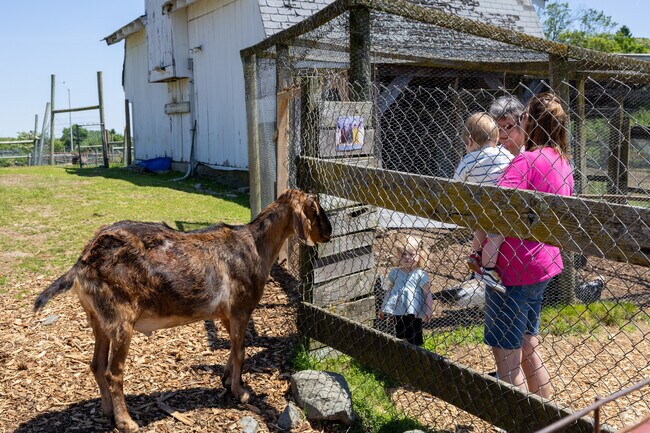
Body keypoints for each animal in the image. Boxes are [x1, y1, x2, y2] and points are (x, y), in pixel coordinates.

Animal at [34, 189, 332, 433]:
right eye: (314, 208)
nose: (329, 232)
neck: (255, 246)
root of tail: (81, 264)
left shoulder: (226, 314)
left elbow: (232, 347)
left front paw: (226, 379)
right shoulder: (241, 308)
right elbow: (240, 350)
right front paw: (241, 391)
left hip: (98, 319)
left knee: (96, 365)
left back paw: (108, 411)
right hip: (120, 321)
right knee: (112, 372)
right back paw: (126, 422)